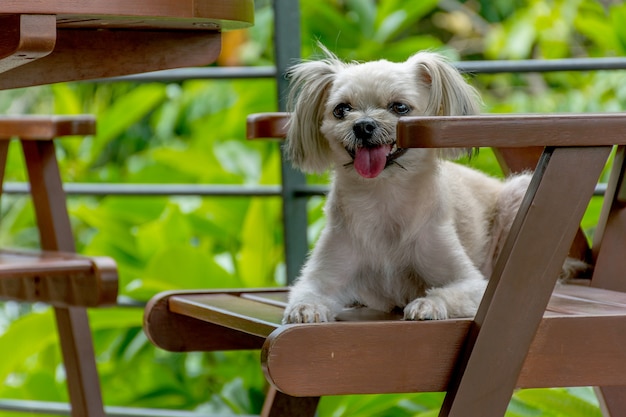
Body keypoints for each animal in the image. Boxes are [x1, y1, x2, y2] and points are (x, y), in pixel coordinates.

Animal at [282, 47, 580, 324]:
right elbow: (307, 293)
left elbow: (445, 292)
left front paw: (427, 305)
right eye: (341, 109)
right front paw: (305, 309)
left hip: (517, 196)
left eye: (399, 107)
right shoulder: (321, 277)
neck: (384, 196)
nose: (363, 125)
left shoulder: (470, 283)